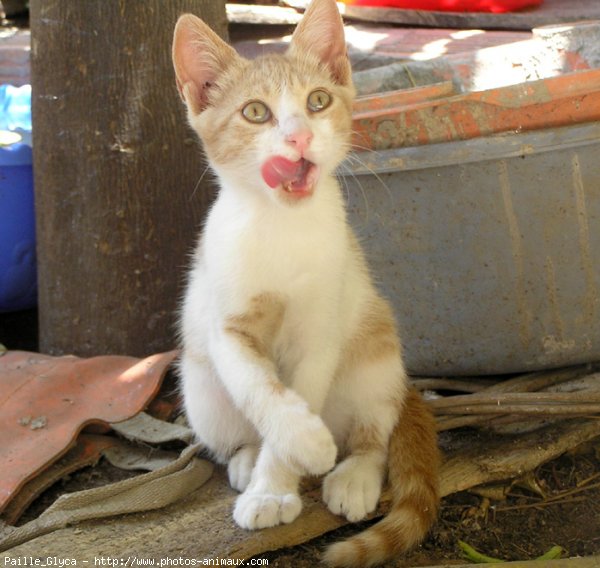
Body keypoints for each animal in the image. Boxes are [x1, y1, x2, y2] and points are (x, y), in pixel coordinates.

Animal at [171, 0, 438, 564]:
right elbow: (262, 390)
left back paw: (354, 473)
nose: (298, 137)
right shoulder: (226, 330)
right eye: (255, 112)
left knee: (375, 432)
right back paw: (247, 459)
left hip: (377, 352)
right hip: (199, 387)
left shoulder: (321, 334)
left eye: (318, 101)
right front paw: (293, 457)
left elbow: (303, 387)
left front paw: (278, 483)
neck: (282, 227)